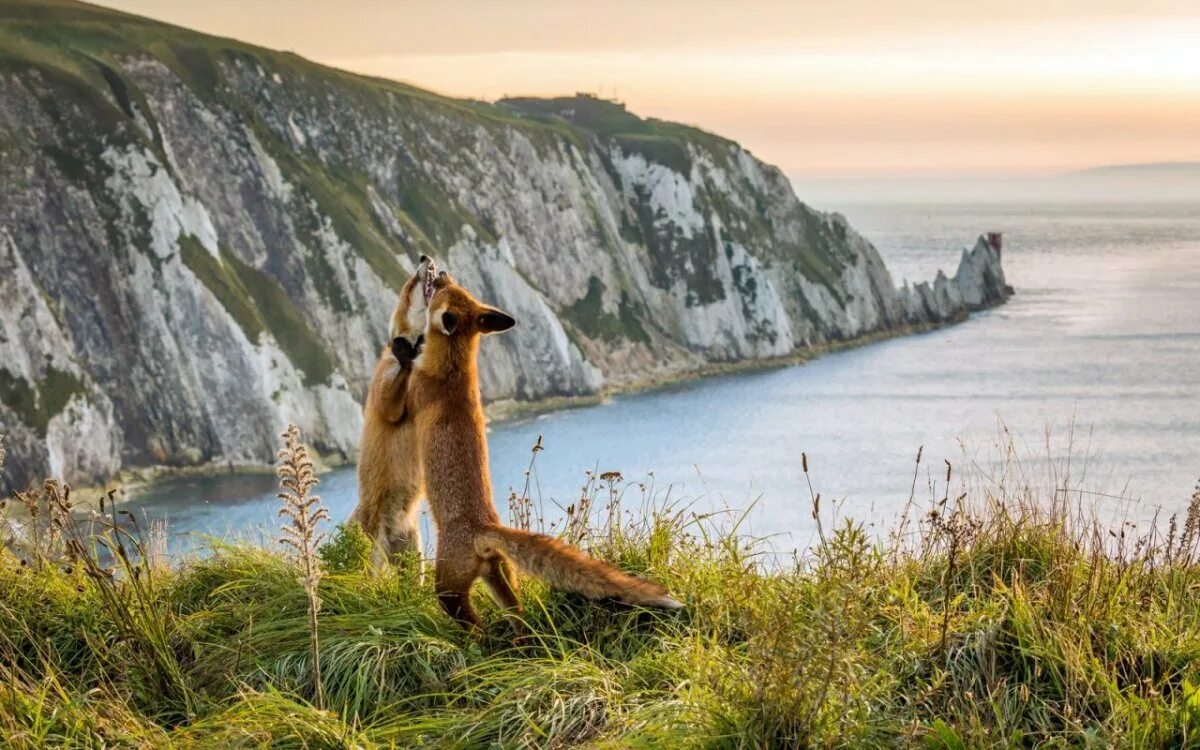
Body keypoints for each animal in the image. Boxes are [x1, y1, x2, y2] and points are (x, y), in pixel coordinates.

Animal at [350, 254, 444, 564]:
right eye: (411, 283)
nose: (424, 256)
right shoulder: (386, 398)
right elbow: (400, 372)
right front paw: (406, 351)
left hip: (414, 554)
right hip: (373, 558)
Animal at [391, 266, 681, 628]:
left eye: (444, 288)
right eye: (457, 285)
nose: (440, 270)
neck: (452, 368)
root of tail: (486, 527)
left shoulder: (415, 395)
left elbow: (403, 385)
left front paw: (403, 350)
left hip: (449, 589)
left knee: (473, 626)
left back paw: (473, 641)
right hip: (499, 578)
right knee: (520, 617)